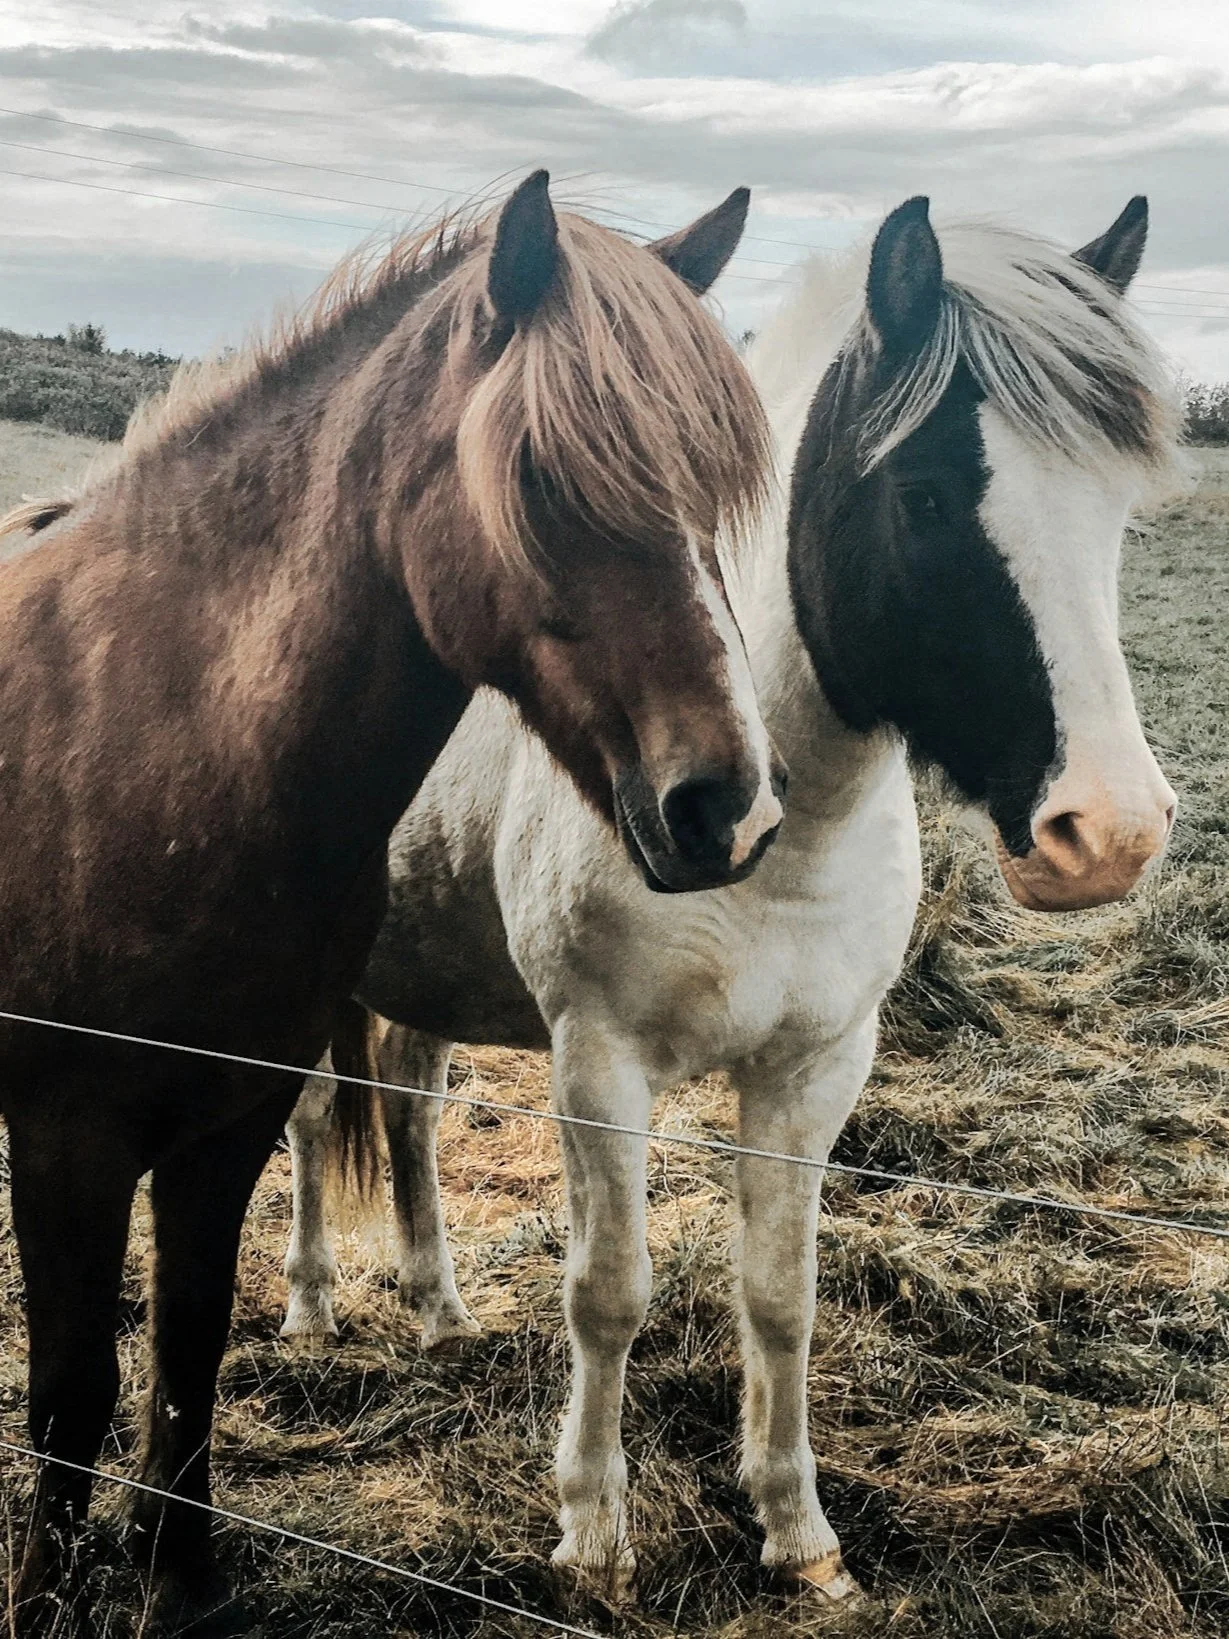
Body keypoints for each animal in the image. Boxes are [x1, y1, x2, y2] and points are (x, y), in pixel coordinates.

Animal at [0, 171, 785, 1636]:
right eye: (538, 476)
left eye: (716, 490)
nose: (731, 808)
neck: (158, 739)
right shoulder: (67, 1130)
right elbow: (72, 1390)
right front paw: (43, 1593)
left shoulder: (231, 1113)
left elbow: (189, 1346)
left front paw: (178, 1576)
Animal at [283, 193, 1183, 1603]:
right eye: (927, 495)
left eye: (1114, 515)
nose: (1109, 833)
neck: (776, 835)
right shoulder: (599, 1065)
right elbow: (608, 1291)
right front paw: (593, 1531)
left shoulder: (812, 1070)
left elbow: (780, 1295)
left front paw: (797, 1528)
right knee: (315, 1122)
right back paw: (313, 1300)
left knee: (409, 1116)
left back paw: (436, 1309)